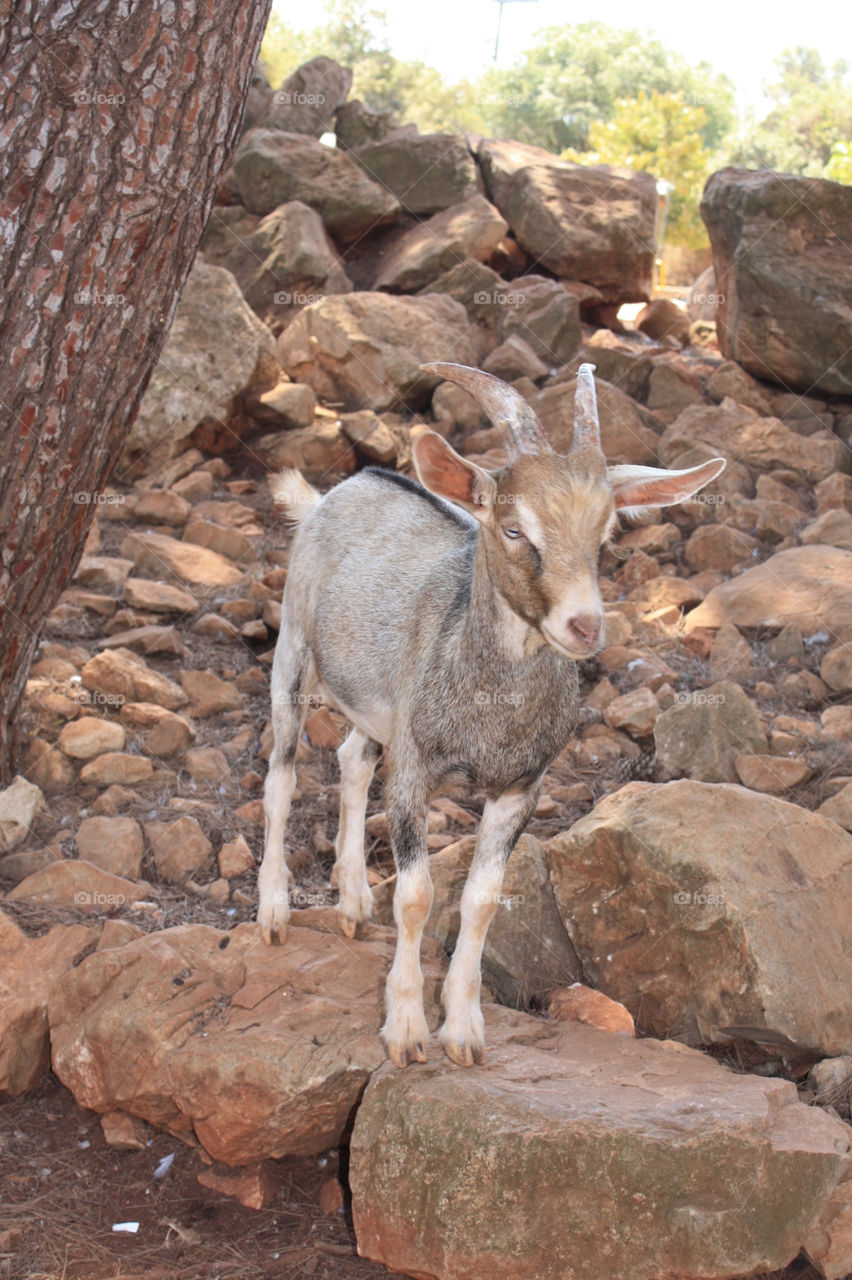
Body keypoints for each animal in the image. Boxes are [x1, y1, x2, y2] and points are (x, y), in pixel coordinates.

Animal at [255, 363, 721, 1070]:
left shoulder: (519, 786)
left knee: (352, 760)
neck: (489, 714)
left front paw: (465, 1031)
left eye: (605, 535)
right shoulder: (416, 770)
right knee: (280, 777)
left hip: (378, 704)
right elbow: (417, 896)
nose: (584, 626)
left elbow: (480, 901)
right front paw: (406, 1030)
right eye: (514, 528)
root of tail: (340, 491)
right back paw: (275, 912)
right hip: (294, 650)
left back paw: (353, 899)